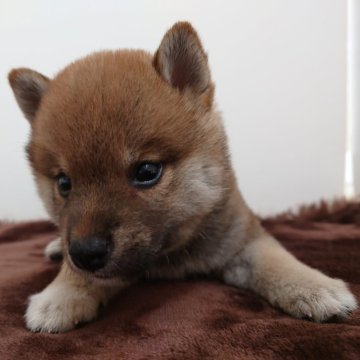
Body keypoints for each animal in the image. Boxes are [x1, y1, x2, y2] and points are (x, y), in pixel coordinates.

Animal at [8, 21, 358, 332]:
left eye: (147, 172)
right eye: (64, 183)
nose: (85, 252)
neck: (173, 254)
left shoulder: (244, 241)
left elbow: (277, 261)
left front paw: (315, 286)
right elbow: (77, 272)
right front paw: (61, 294)